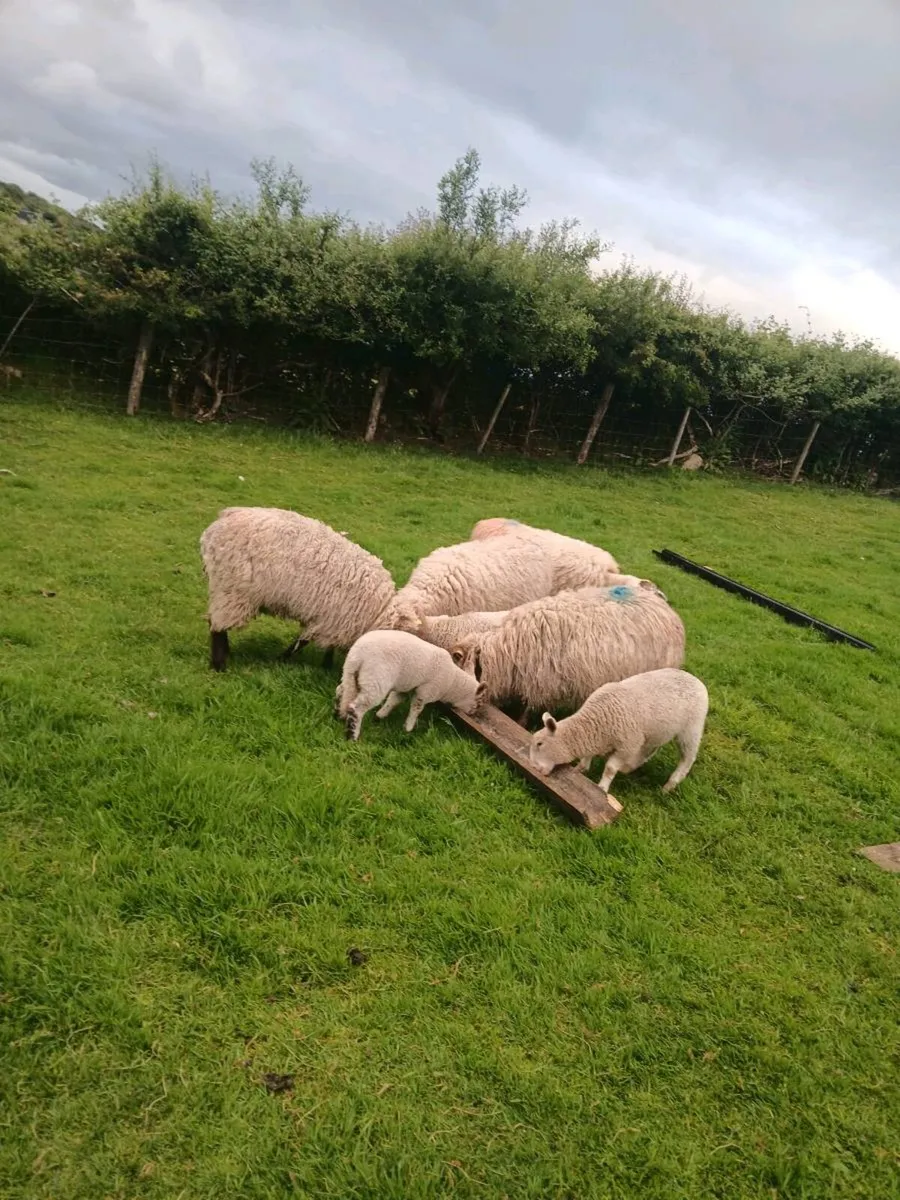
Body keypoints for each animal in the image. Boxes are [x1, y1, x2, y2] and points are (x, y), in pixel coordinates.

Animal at [200, 506, 396, 671]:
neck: (379, 612)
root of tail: (224, 517)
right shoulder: (333, 622)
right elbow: (303, 642)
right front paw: (283, 659)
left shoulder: (328, 622)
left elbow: (314, 642)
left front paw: (325, 665)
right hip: (232, 590)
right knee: (217, 627)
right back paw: (219, 665)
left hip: (225, 589)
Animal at [335, 629, 486, 741]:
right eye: (478, 702)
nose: (474, 715)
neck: (452, 682)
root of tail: (359, 654)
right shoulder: (425, 692)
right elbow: (416, 709)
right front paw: (408, 728)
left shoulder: (406, 686)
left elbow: (394, 700)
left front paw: (380, 715)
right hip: (375, 680)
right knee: (357, 708)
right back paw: (352, 736)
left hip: (351, 673)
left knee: (341, 690)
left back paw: (338, 714)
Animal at [528, 668, 709, 794]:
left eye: (540, 744)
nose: (535, 768)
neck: (595, 723)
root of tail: (695, 680)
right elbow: (587, 757)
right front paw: (579, 769)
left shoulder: (628, 745)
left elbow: (610, 768)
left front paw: (602, 788)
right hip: (656, 731)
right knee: (651, 749)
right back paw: (630, 767)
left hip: (691, 729)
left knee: (687, 758)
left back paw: (669, 786)